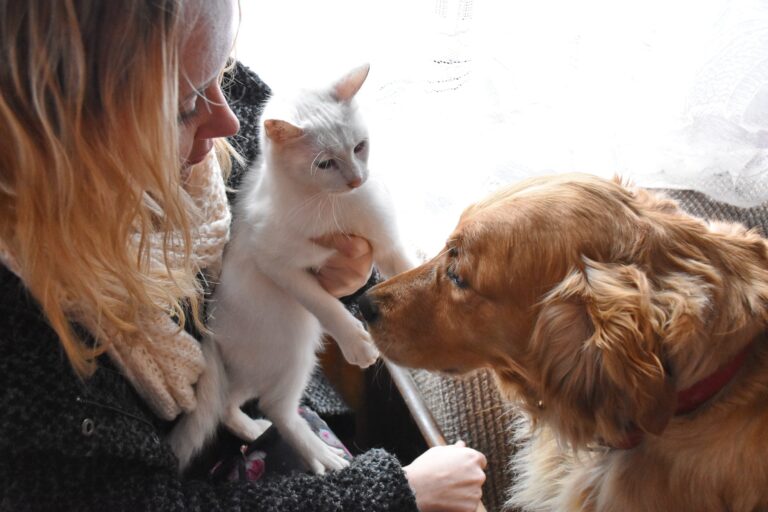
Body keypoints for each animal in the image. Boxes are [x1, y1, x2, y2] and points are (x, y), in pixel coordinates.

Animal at [171, 65, 416, 476]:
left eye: (359, 147)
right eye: (325, 164)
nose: (356, 180)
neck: (333, 204)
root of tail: (212, 334)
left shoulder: (385, 242)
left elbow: (411, 270)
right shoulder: (274, 260)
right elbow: (325, 304)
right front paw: (355, 342)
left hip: (255, 366)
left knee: (229, 404)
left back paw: (255, 431)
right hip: (294, 344)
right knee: (276, 406)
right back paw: (320, 454)